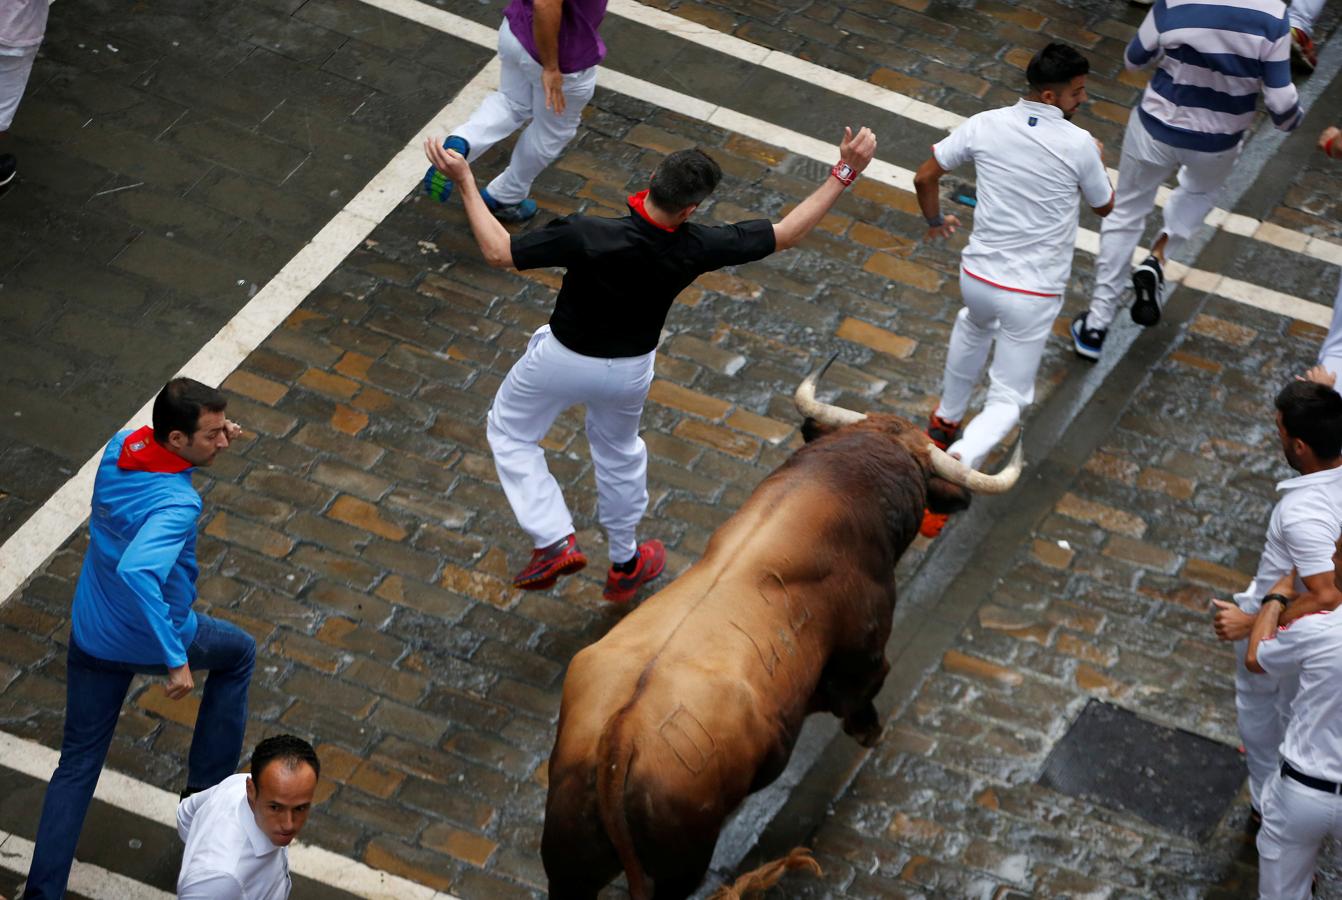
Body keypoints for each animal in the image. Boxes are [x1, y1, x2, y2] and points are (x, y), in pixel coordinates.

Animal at [539, 362, 1019, 900]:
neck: (833, 489)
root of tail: (619, 736)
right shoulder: (866, 653)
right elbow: (864, 692)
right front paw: (869, 732)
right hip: (681, 863)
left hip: (569, 862)